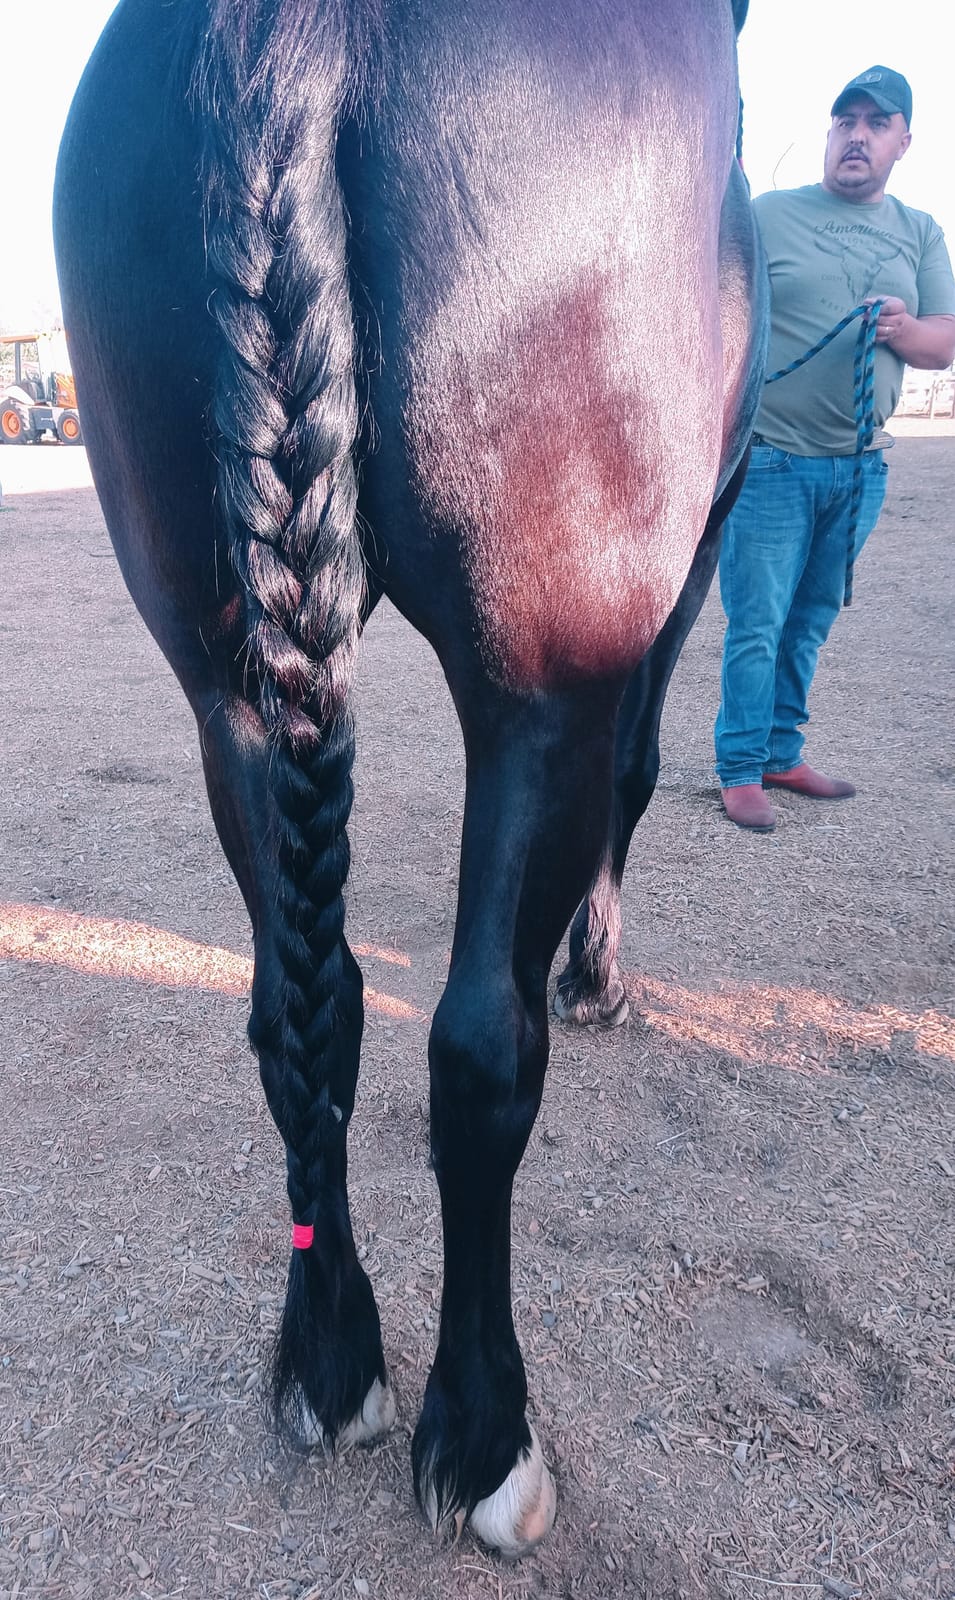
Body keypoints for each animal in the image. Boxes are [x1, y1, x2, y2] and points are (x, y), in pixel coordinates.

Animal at [54, 0, 766, 1557]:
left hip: (229, 685)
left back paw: (329, 1360)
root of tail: (295, 32)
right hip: (540, 682)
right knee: (478, 1049)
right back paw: (485, 1429)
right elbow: (640, 770)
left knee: (296, 1017)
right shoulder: (686, 567)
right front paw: (596, 969)